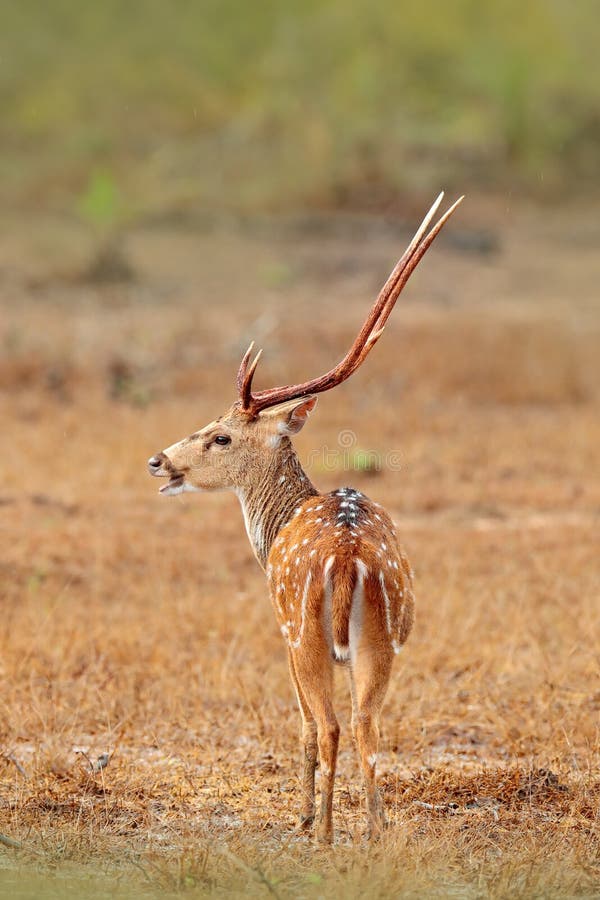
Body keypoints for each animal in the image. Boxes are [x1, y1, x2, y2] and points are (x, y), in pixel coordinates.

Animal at [148, 193, 462, 840]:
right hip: (383, 638)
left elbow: (302, 723)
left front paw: (301, 813)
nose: (157, 460)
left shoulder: (280, 630)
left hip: (305, 633)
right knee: (368, 723)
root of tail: (346, 558)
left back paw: (321, 832)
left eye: (219, 436)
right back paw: (374, 832)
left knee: (332, 723)